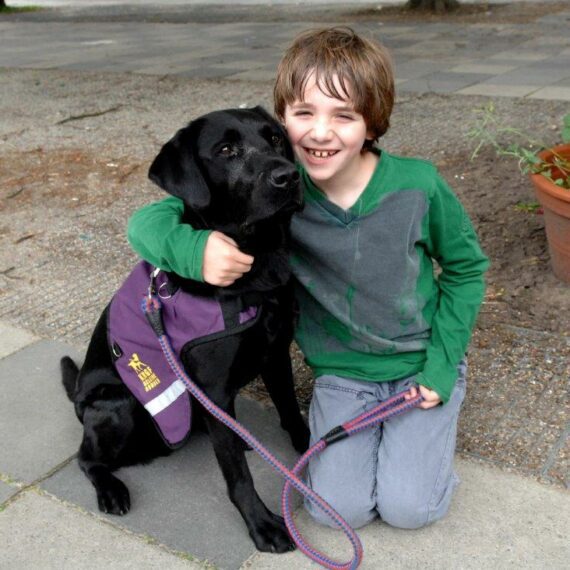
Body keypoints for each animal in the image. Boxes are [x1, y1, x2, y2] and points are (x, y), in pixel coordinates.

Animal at [60, 106, 308, 552]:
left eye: (276, 139)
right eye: (226, 150)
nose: (289, 176)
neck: (256, 260)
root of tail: (78, 398)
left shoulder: (276, 353)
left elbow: (291, 413)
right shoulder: (213, 386)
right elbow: (237, 477)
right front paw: (261, 524)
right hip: (118, 406)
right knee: (85, 458)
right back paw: (111, 489)